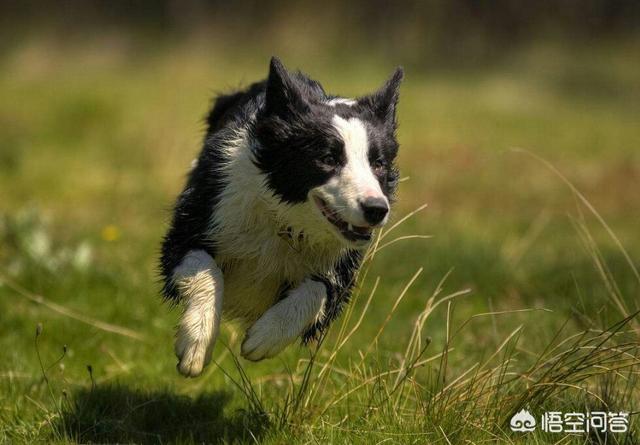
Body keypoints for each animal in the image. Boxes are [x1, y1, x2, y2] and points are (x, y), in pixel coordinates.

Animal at [160, 56, 402, 374]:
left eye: (378, 164)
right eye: (328, 158)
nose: (376, 210)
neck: (285, 221)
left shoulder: (342, 271)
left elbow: (317, 291)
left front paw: (265, 336)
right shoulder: (191, 228)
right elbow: (207, 270)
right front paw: (196, 345)